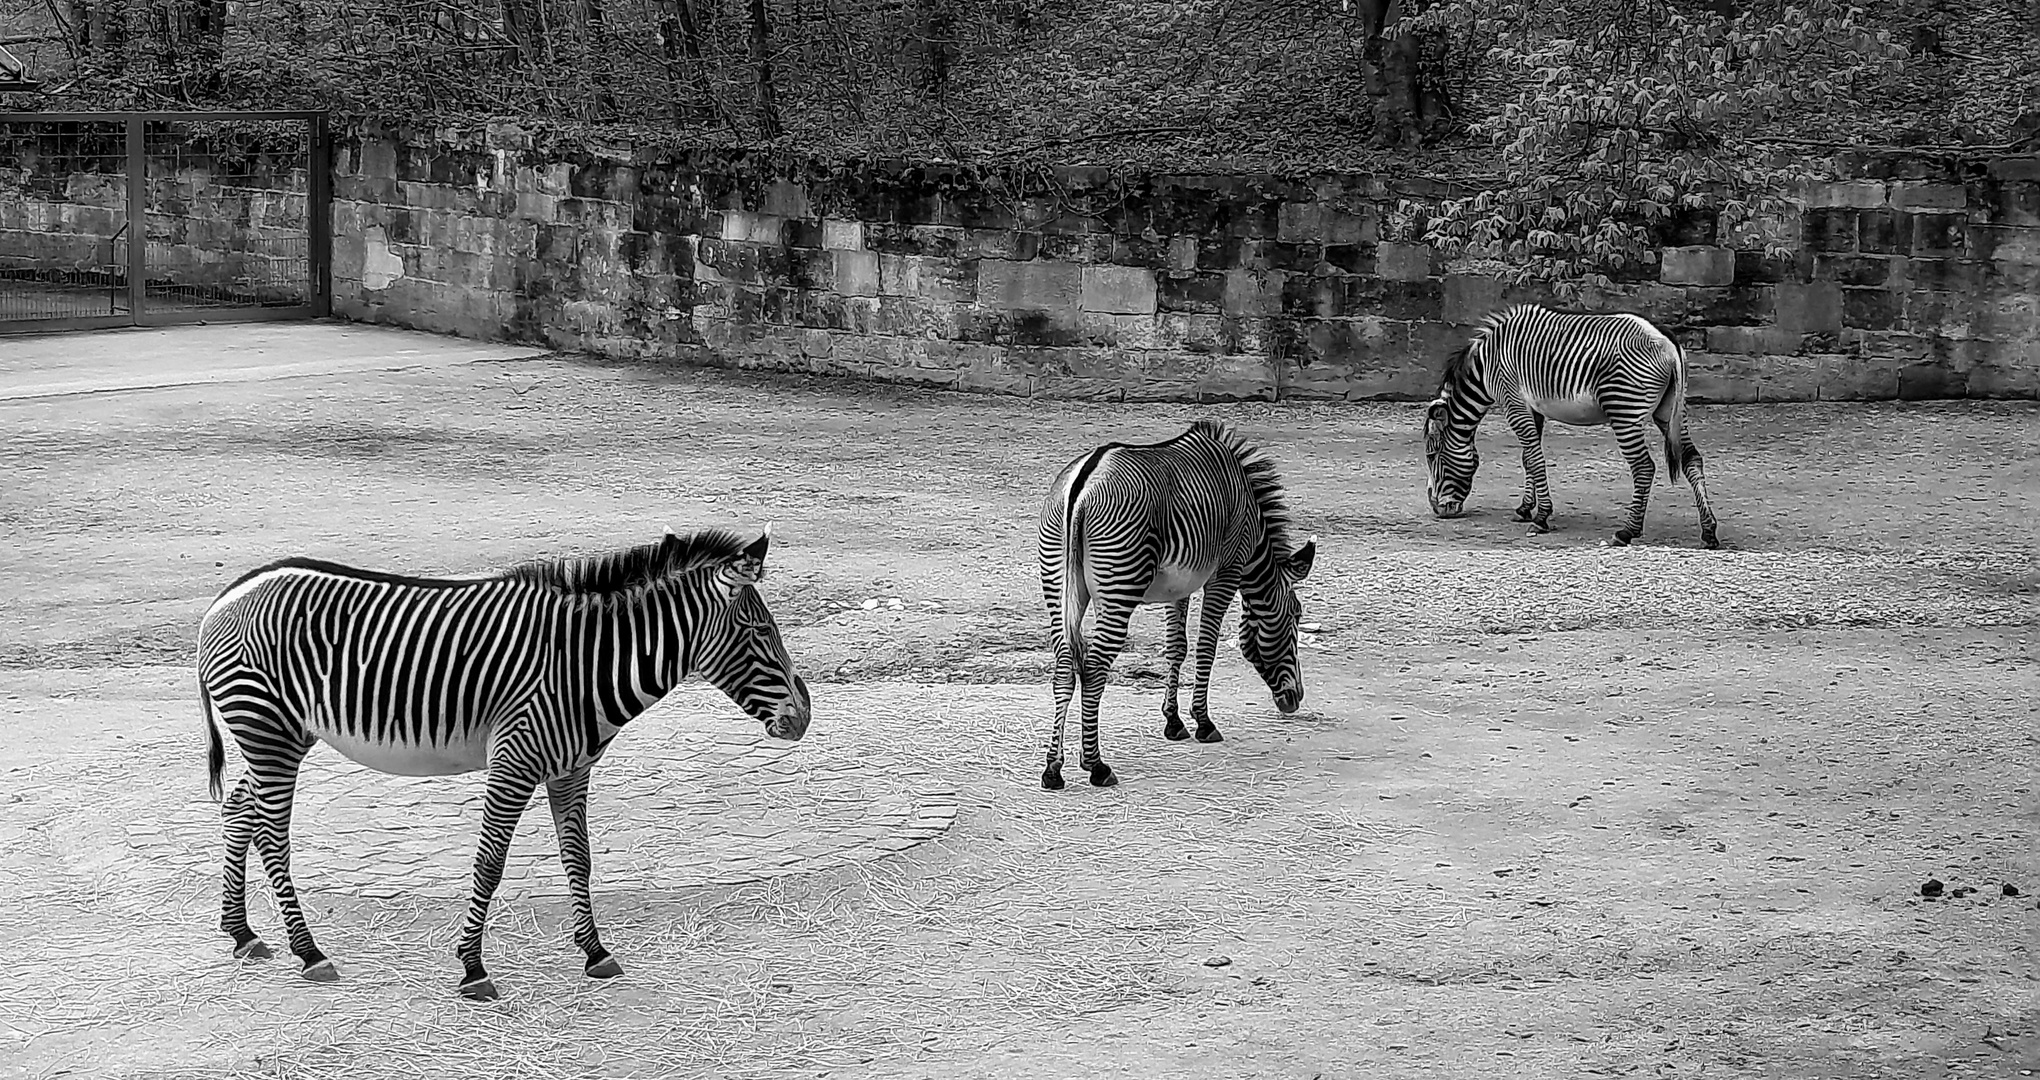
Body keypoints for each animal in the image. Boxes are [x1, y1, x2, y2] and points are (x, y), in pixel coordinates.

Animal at [194, 526, 807, 996]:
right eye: (761, 630)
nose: (802, 718)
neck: (584, 663)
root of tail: (226, 595)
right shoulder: (514, 760)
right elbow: (489, 863)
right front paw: (472, 968)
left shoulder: (571, 767)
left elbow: (579, 859)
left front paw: (595, 952)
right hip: (267, 728)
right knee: (271, 831)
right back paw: (309, 952)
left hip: (284, 734)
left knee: (240, 808)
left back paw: (242, 934)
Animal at [1036, 416, 1321, 788]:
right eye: (1296, 615)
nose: (1295, 699)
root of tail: (1081, 486)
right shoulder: (1225, 574)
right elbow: (1206, 647)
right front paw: (1203, 722)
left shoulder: (1178, 586)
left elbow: (1176, 647)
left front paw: (1173, 721)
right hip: (1119, 587)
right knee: (1095, 666)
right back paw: (1096, 765)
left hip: (1062, 586)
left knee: (1065, 665)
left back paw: (1053, 768)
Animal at [1428, 302, 1729, 547]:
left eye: (1432, 455)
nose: (1437, 510)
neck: (1486, 366)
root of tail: (1668, 341)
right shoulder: (1533, 409)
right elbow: (1528, 458)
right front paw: (1526, 509)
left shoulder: (1513, 402)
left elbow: (1534, 459)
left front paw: (1541, 517)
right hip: (1668, 412)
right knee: (1691, 459)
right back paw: (1709, 531)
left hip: (1625, 411)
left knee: (1644, 467)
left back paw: (1627, 532)